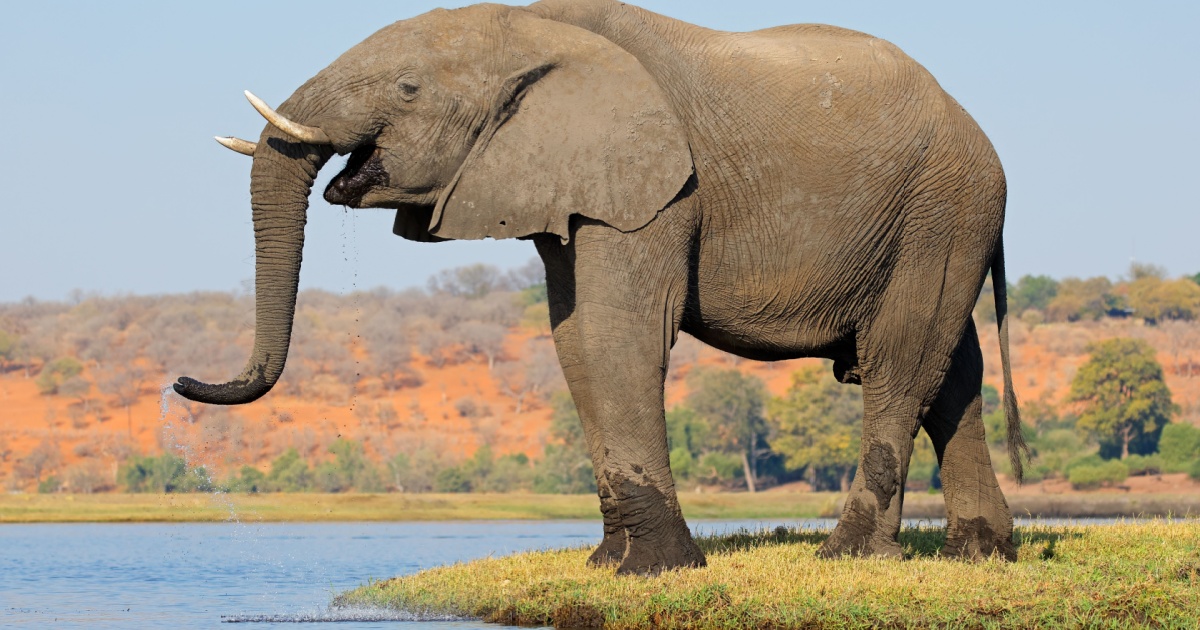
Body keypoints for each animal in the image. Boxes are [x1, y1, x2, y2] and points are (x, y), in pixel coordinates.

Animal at [175, 0, 1028, 574]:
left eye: (410, 88)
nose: (184, 384)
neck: (532, 25)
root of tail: (979, 134)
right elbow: (575, 339)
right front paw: (607, 567)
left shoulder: (657, 181)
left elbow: (623, 331)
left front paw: (657, 571)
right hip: (940, 215)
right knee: (953, 371)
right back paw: (981, 554)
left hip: (945, 205)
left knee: (900, 361)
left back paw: (849, 557)